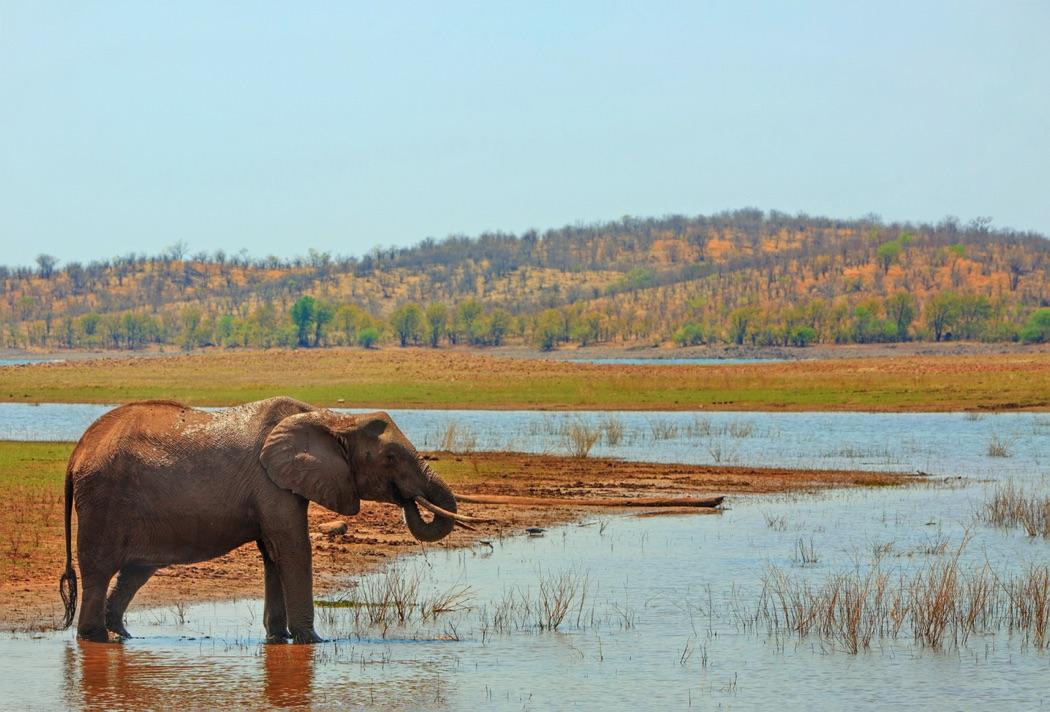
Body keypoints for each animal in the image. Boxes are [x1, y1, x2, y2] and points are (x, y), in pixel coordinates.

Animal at [55, 399, 470, 642]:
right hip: (104, 501)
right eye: (390, 459)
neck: (330, 418)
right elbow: (293, 548)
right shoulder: (271, 483)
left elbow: (274, 554)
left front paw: (278, 640)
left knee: (136, 570)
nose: (410, 499)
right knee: (100, 569)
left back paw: (122, 634)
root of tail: (76, 454)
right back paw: (95, 637)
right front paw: (312, 642)